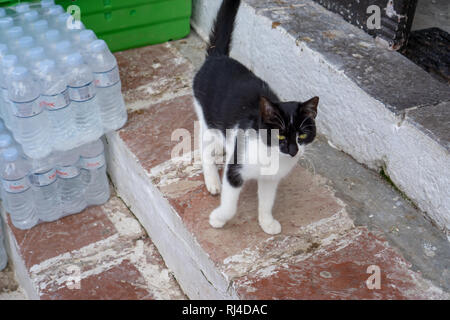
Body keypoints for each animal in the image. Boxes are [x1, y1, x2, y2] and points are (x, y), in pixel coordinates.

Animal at [193, 0, 320, 235]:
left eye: (302, 135)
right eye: (280, 136)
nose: (293, 151)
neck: (270, 154)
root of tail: (218, 57)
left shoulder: (271, 178)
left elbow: (267, 200)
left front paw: (267, 222)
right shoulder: (235, 168)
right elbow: (230, 204)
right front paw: (218, 219)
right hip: (206, 115)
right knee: (204, 144)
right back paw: (212, 179)